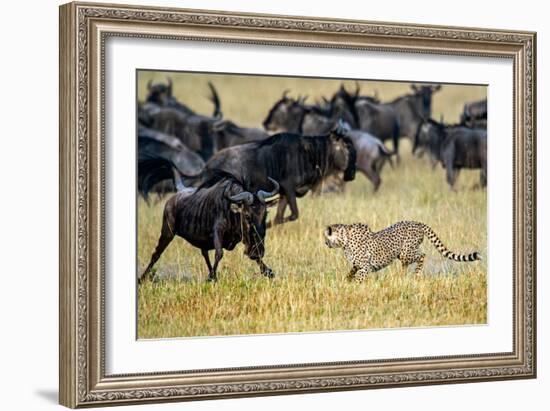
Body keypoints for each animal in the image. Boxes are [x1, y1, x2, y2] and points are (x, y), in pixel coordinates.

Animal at [326, 222, 480, 284]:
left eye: (325, 237)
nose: (325, 243)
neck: (344, 239)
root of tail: (417, 223)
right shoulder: (357, 265)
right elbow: (351, 272)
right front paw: (346, 281)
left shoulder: (365, 266)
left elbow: (359, 277)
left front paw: (354, 287)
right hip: (403, 254)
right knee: (408, 263)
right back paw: (401, 276)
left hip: (407, 252)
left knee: (422, 255)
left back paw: (415, 274)